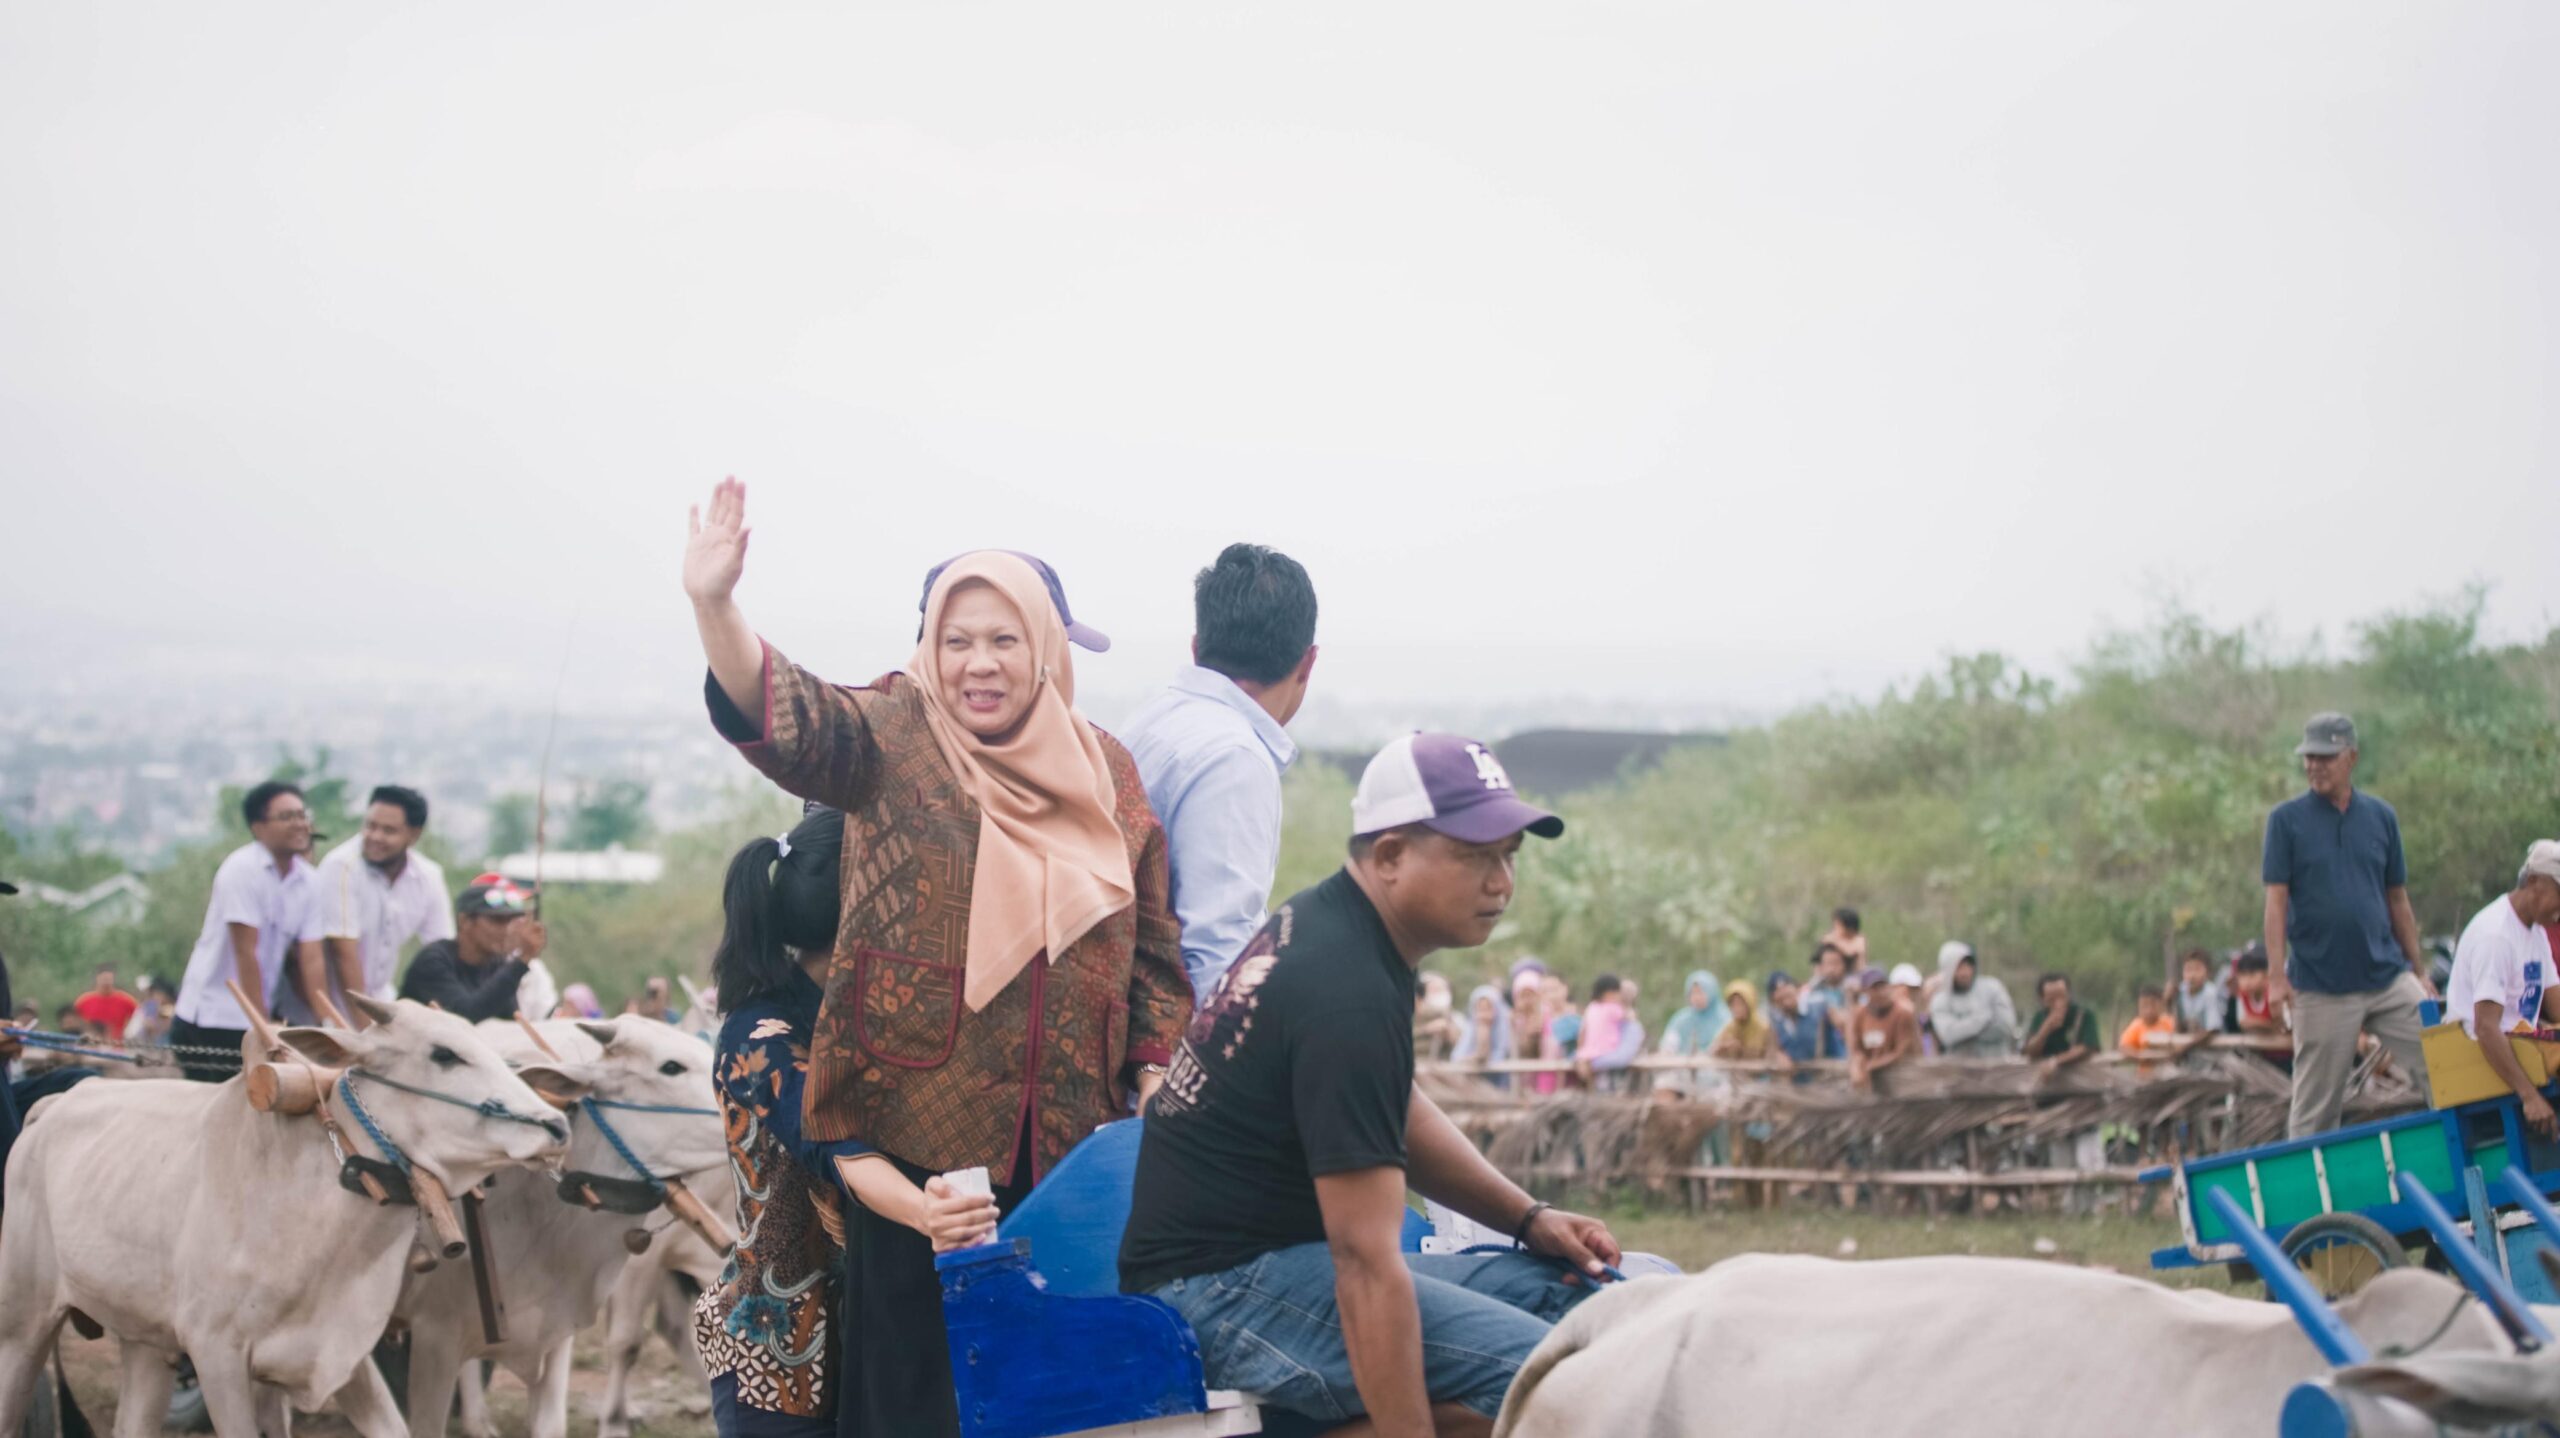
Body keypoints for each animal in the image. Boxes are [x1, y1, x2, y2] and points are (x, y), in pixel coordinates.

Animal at [0, 995, 577, 1438]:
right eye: (444, 1054)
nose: (557, 1126)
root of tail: (53, 1105)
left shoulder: (344, 1354)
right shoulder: (218, 1356)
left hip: (145, 1341)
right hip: (24, 1325)